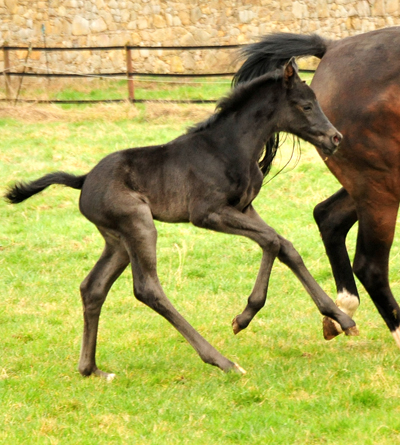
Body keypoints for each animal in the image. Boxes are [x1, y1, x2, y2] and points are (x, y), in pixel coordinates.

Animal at [4, 60, 358, 378]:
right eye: (306, 105)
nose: (336, 138)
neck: (228, 148)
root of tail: (84, 179)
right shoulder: (207, 214)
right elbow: (271, 241)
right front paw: (243, 317)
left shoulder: (245, 208)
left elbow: (286, 246)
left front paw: (342, 320)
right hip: (138, 225)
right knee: (146, 289)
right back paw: (223, 361)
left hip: (117, 240)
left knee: (93, 287)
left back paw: (91, 369)